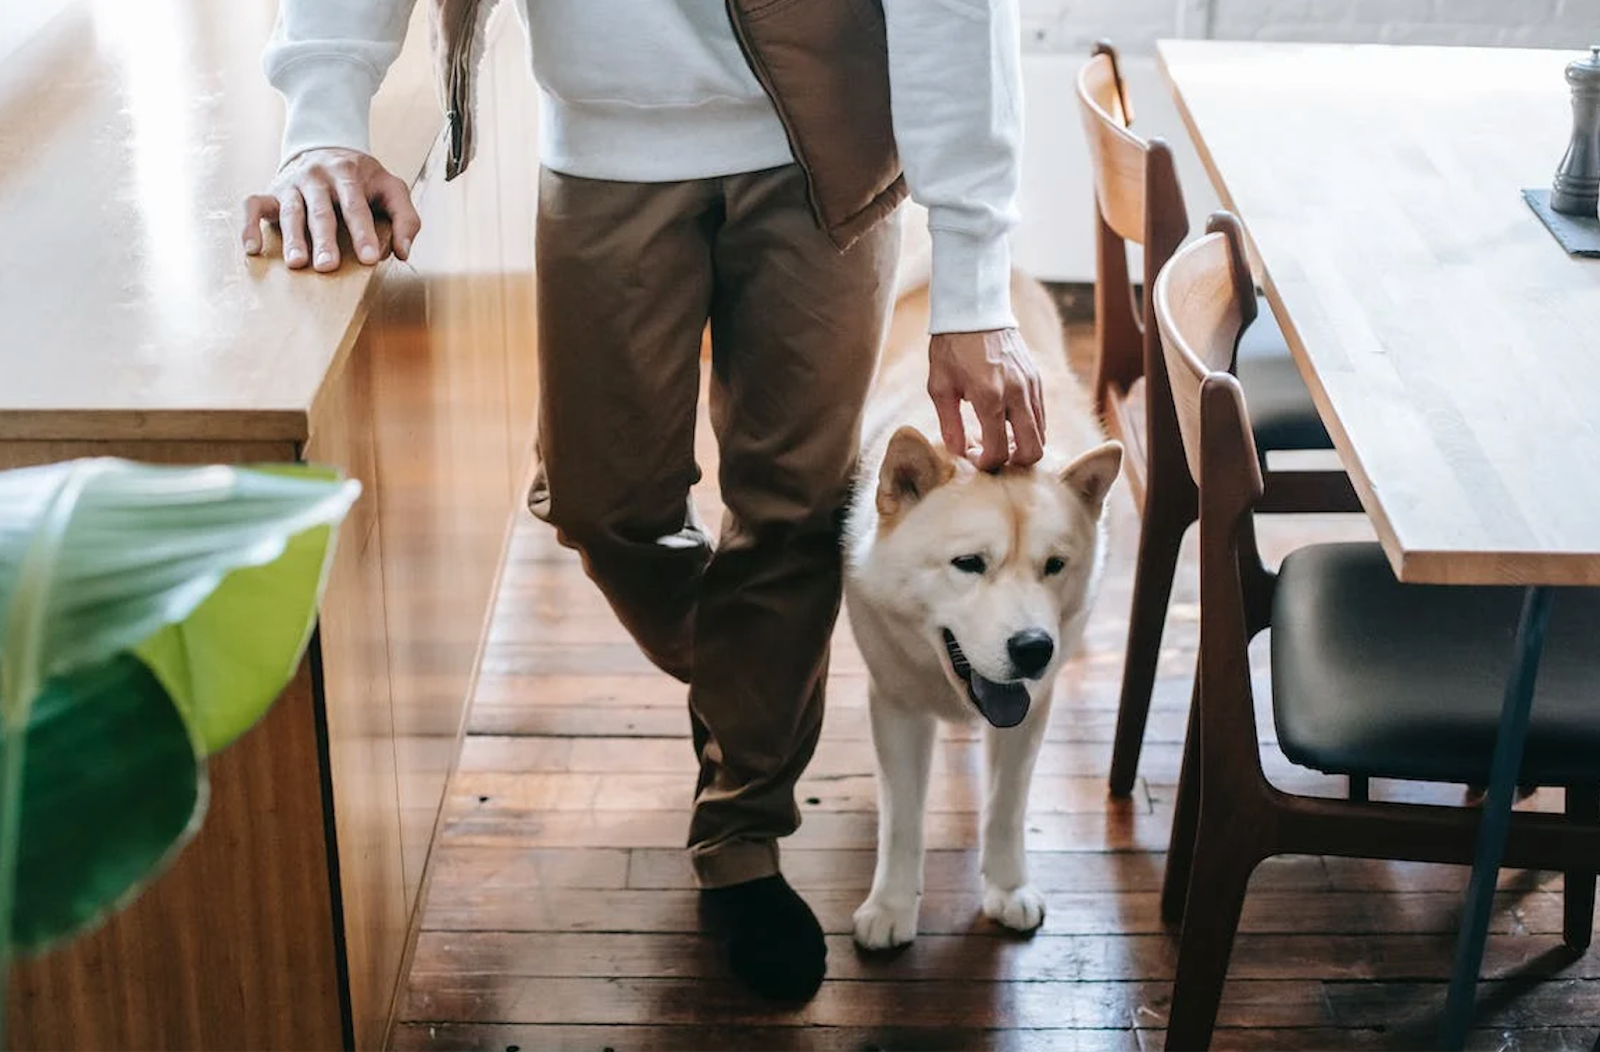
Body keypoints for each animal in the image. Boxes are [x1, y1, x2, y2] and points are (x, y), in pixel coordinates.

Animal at [838, 217, 1126, 946]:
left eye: (1054, 566)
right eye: (969, 564)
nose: (1033, 648)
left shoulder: (1031, 711)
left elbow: (1005, 807)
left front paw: (1008, 888)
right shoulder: (897, 707)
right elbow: (903, 821)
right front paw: (892, 907)